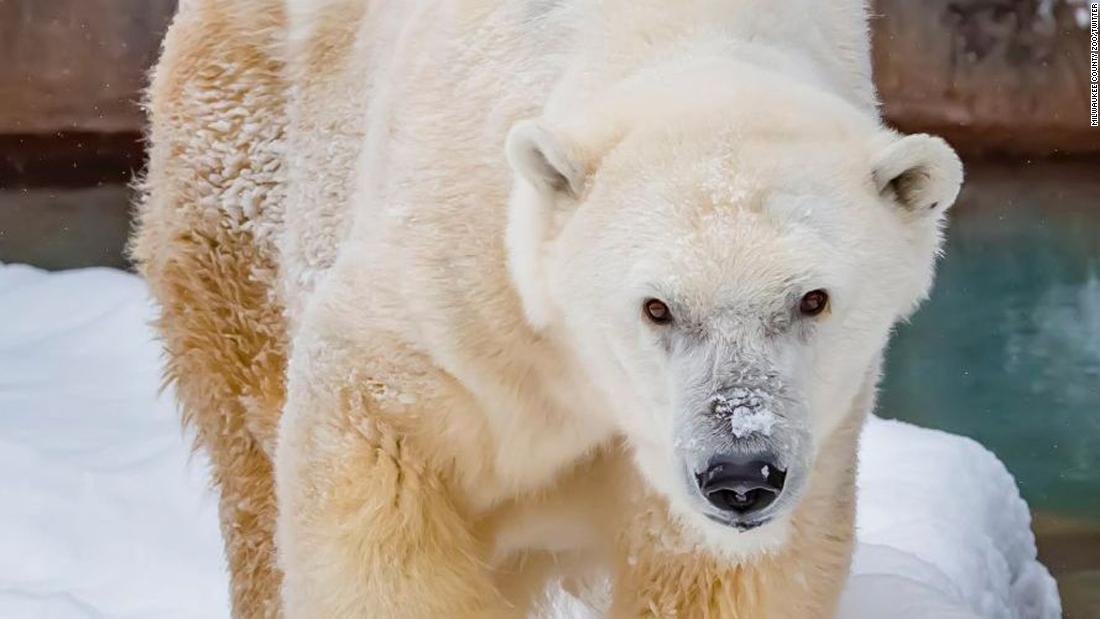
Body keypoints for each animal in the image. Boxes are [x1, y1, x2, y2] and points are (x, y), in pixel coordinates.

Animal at [135, 1, 963, 619]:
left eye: (813, 299)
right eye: (656, 307)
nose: (740, 473)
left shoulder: (813, 434)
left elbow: (719, 573)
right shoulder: (462, 283)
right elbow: (377, 461)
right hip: (244, 160)